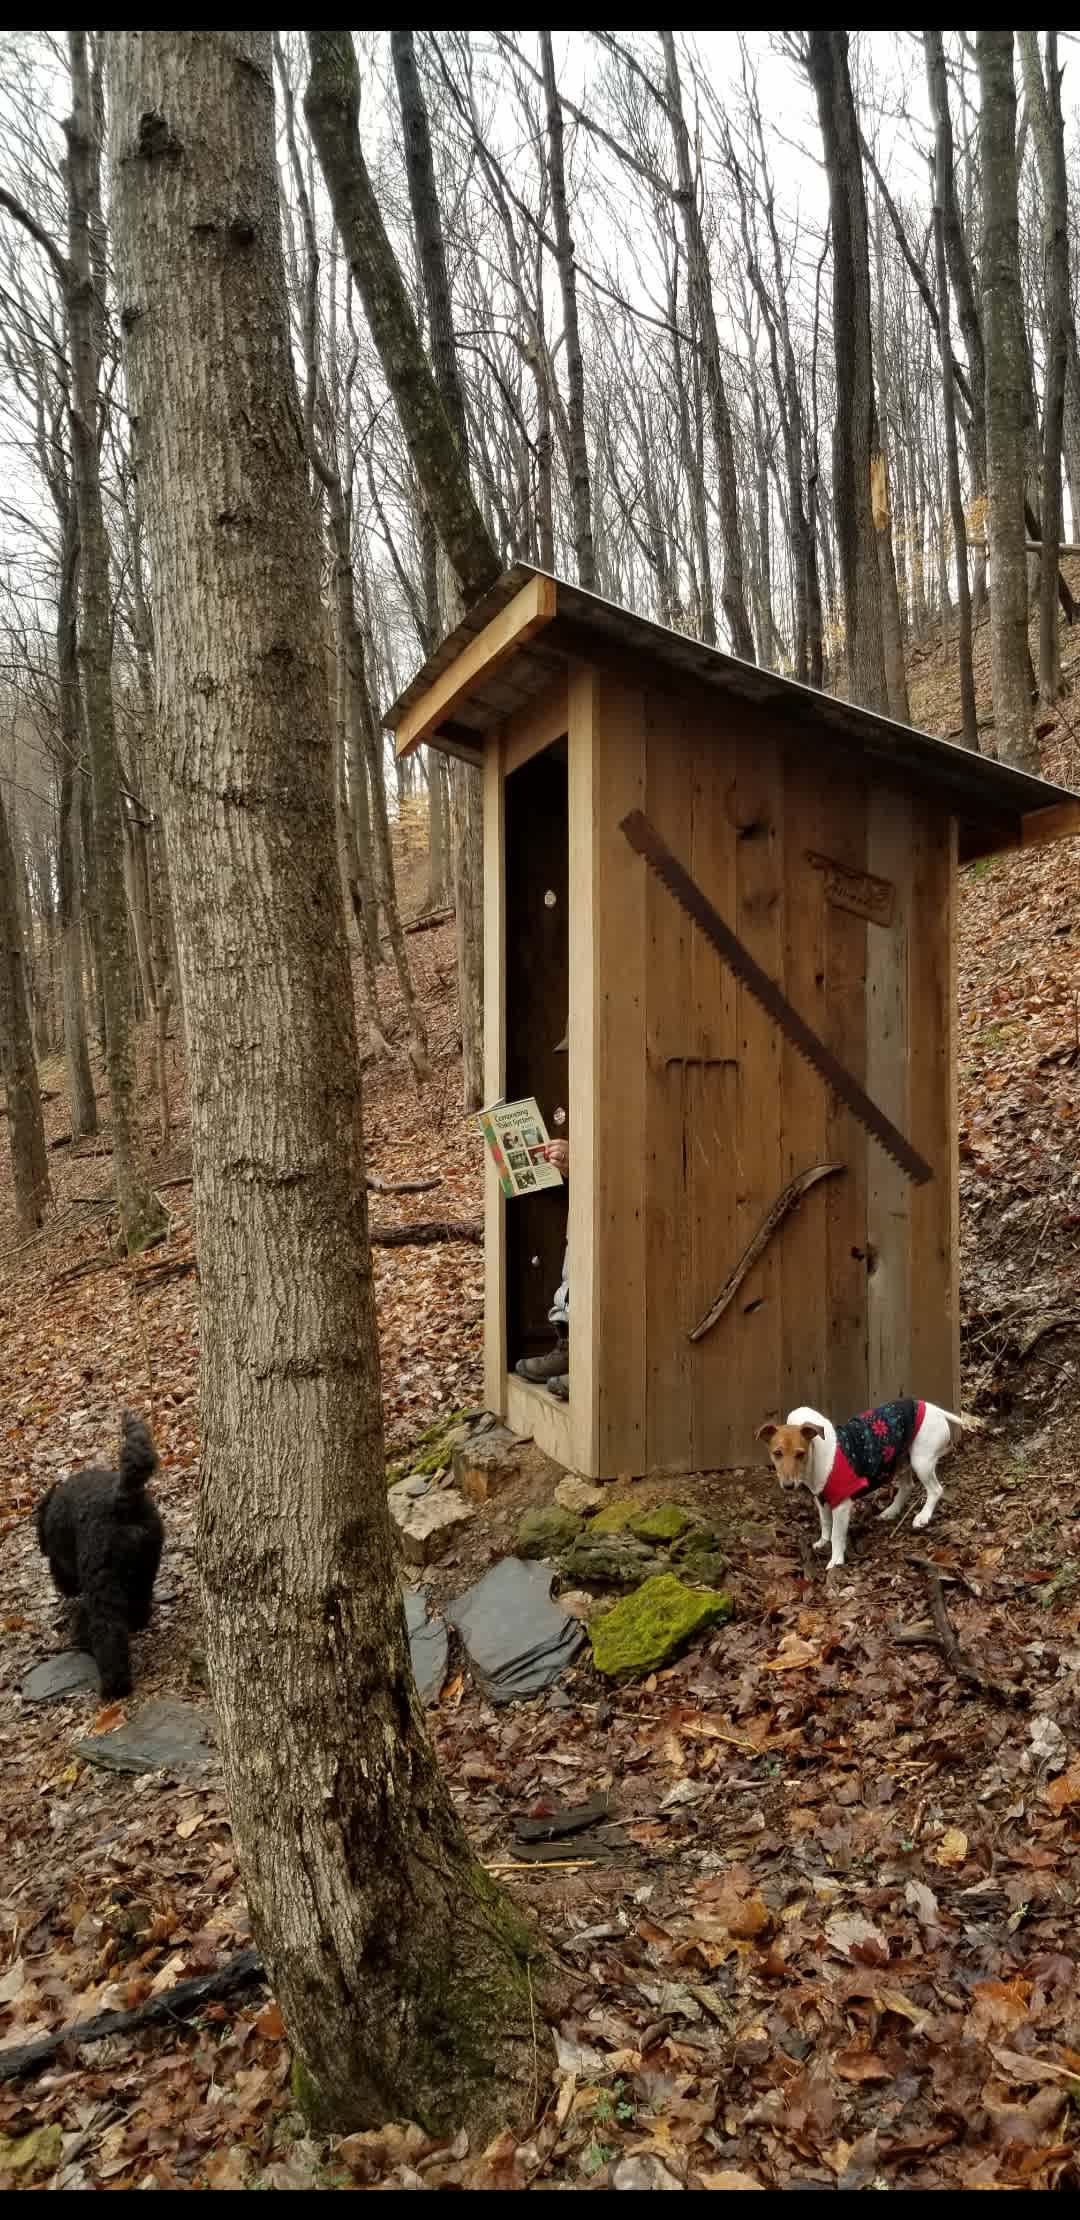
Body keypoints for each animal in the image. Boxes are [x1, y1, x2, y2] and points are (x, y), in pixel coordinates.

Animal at [35, 1411, 162, 1704]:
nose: (62, 1586)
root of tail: (121, 1501)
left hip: (102, 1583)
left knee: (108, 1633)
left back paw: (114, 1687)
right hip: (146, 1565)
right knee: (139, 1602)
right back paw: (137, 1622)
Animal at [760, 1394, 977, 1571]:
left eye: (800, 1454)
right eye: (777, 1453)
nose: (788, 1485)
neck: (816, 1459)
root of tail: (935, 1409)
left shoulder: (841, 1505)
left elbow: (837, 1534)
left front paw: (835, 1560)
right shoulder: (821, 1499)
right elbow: (825, 1522)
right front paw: (823, 1541)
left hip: (921, 1461)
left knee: (935, 1490)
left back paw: (923, 1517)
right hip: (901, 1459)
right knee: (907, 1487)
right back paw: (891, 1511)